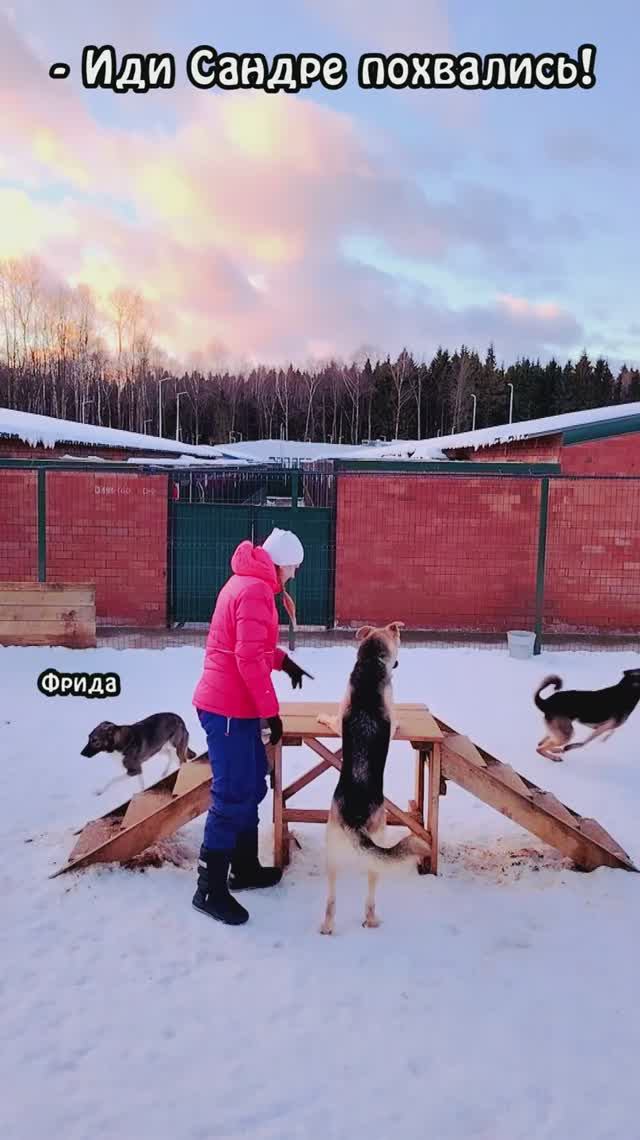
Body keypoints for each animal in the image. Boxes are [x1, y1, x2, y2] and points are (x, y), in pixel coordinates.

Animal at [314, 624, 428, 934]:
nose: (398, 663)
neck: (370, 664)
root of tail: (355, 818)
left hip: (331, 854)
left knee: (331, 900)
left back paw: (327, 927)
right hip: (379, 846)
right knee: (369, 895)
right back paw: (371, 920)